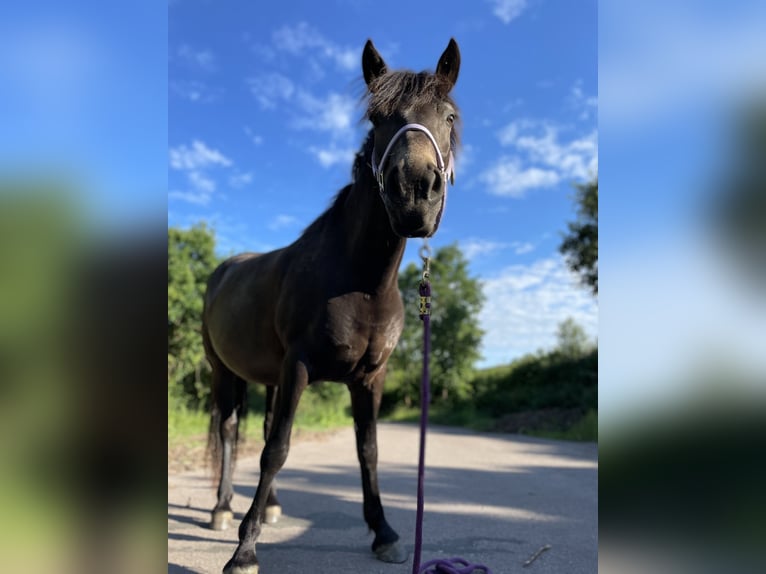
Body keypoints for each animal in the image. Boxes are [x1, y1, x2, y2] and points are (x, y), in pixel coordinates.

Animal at [201, 38, 462, 572]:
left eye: (448, 116)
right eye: (377, 118)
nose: (414, 193)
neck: (363, 284)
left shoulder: (369, 379)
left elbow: (369, 451)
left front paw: (384, 533)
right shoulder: (299, 365)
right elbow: (276, 449)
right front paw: (245, 550)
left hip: (267, 376)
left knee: (258, 428)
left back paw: (270, 506)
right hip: (224, 372)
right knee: (232, 432)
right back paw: (222, 509)